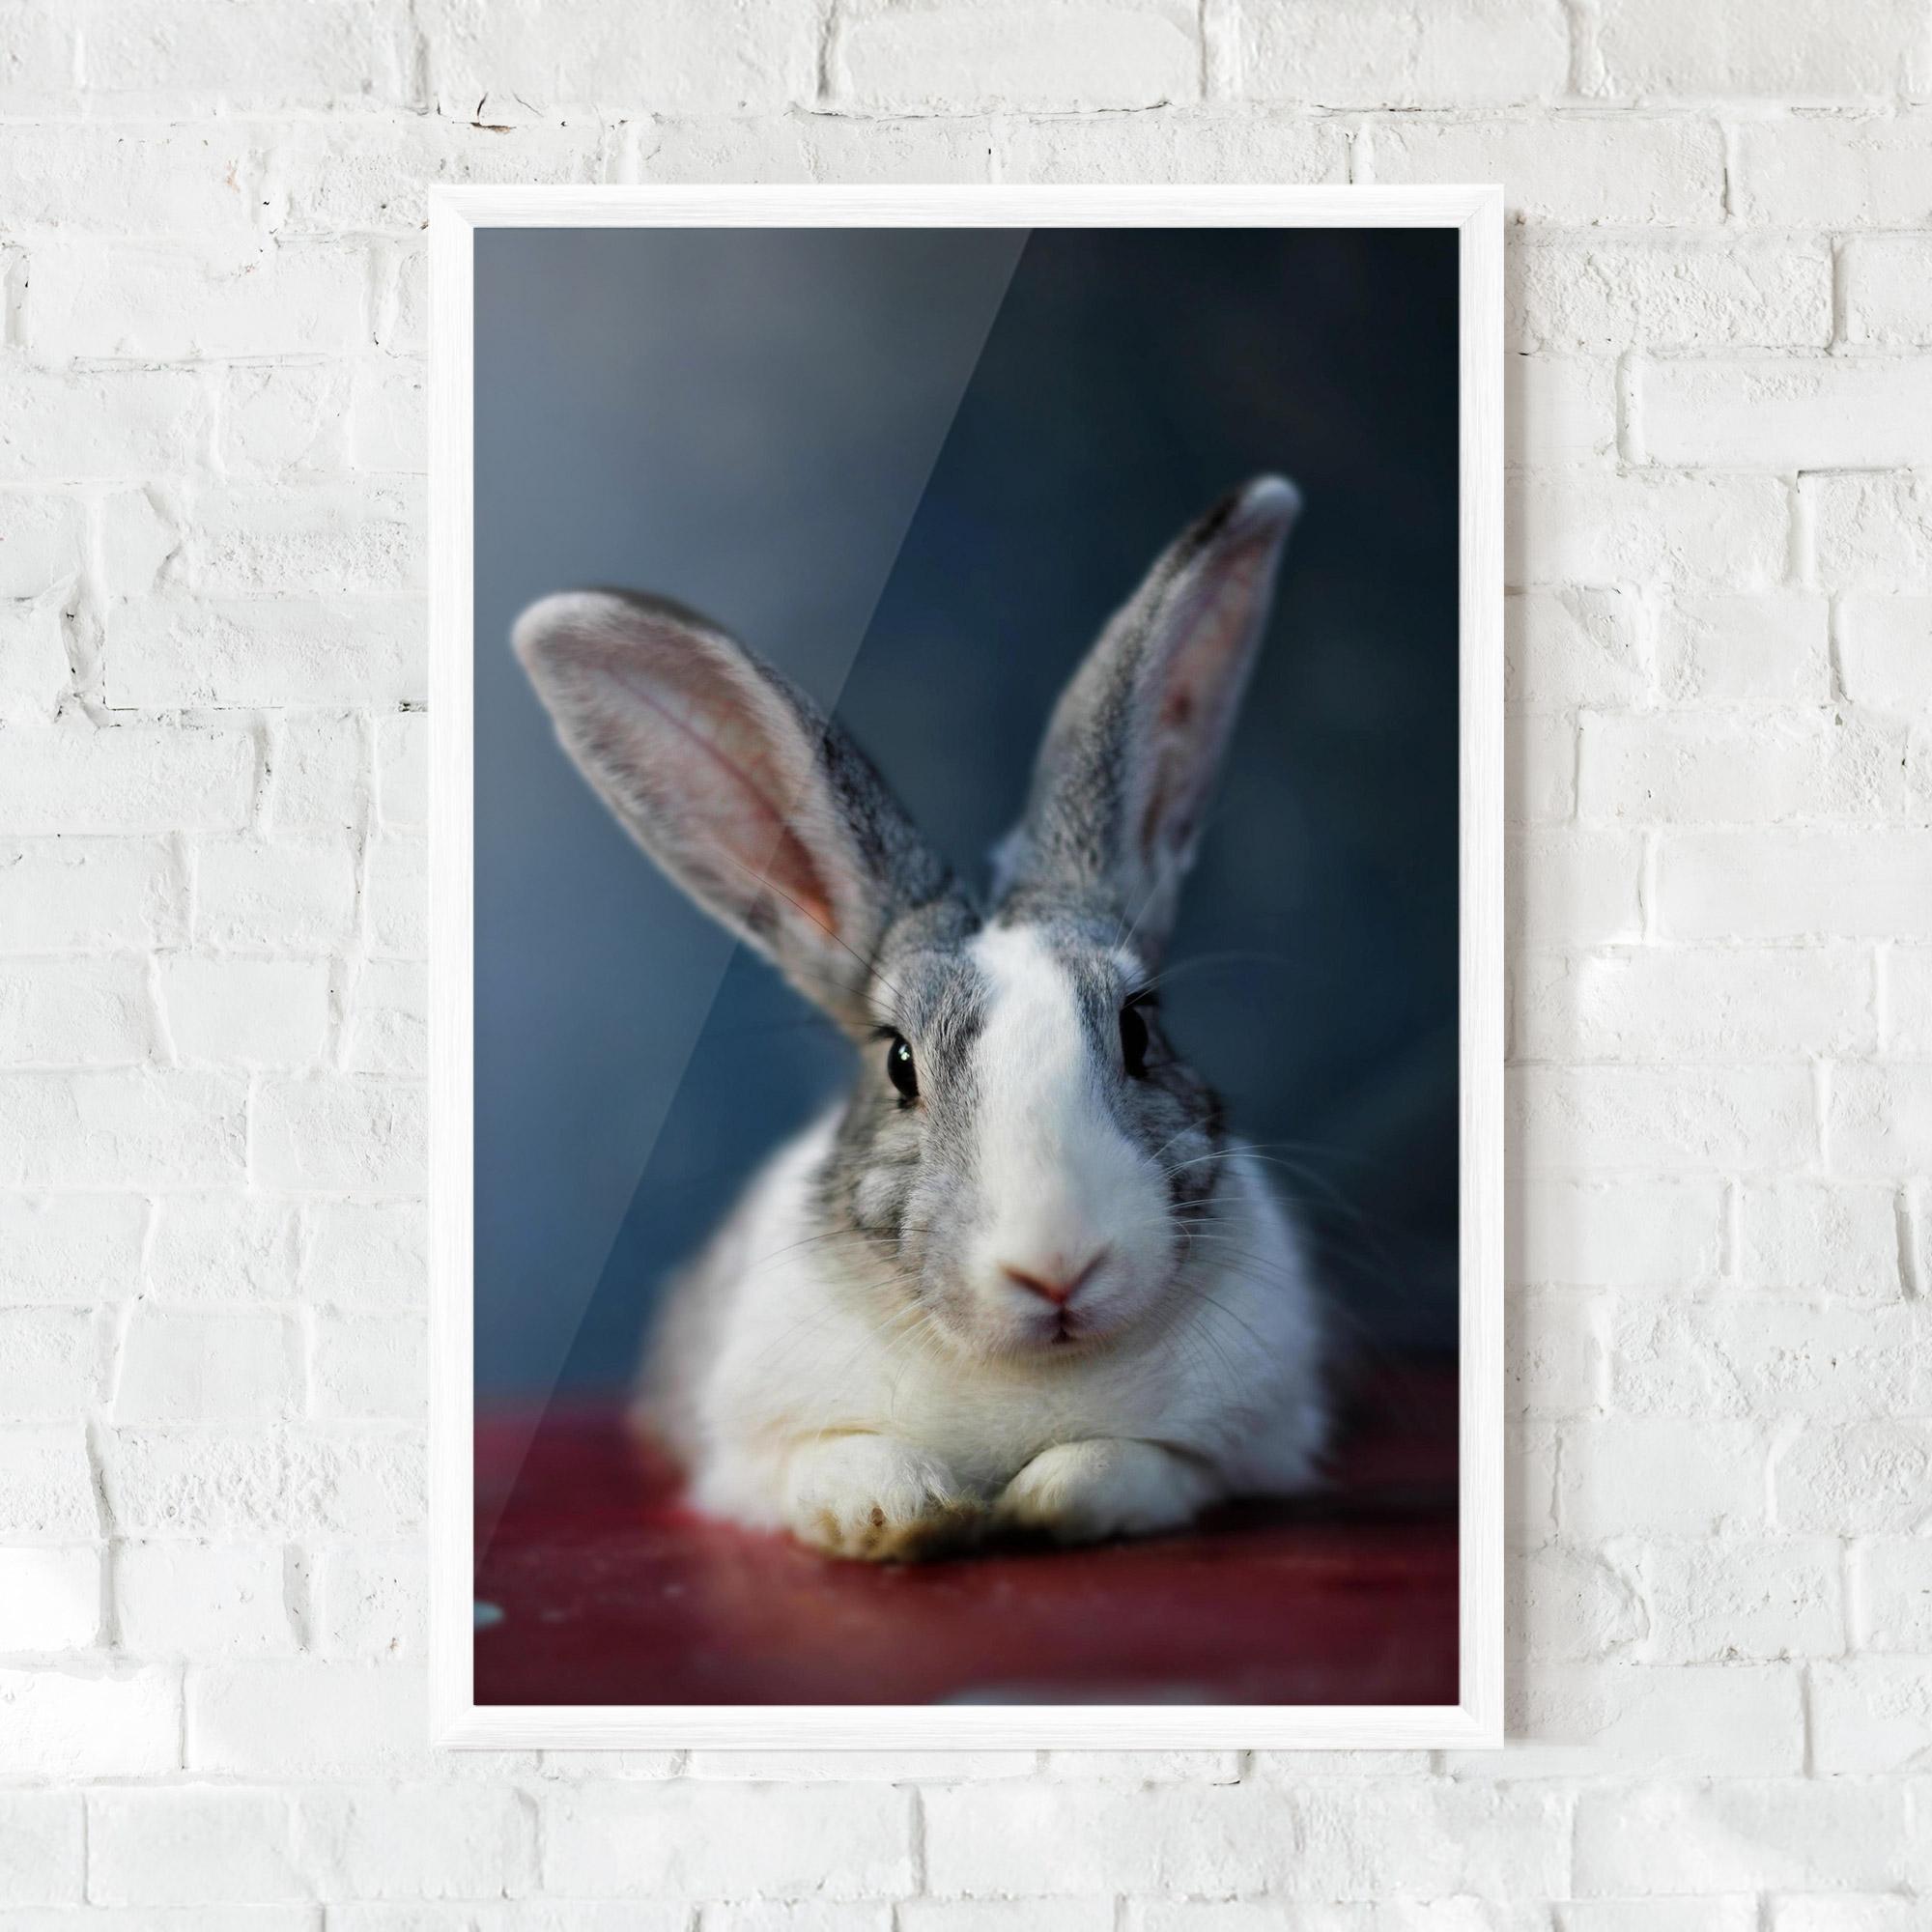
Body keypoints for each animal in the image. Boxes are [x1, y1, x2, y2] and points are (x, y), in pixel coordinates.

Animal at [514, 474, 1331, 1561]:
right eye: (900, 1064)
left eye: (1139, 1029)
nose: (1057, 1267)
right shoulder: (747, 1454)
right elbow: (835, 1462)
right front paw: (902, 1512)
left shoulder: (1236, 1448)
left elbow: (1130, 1465)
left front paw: (1045, 1497)